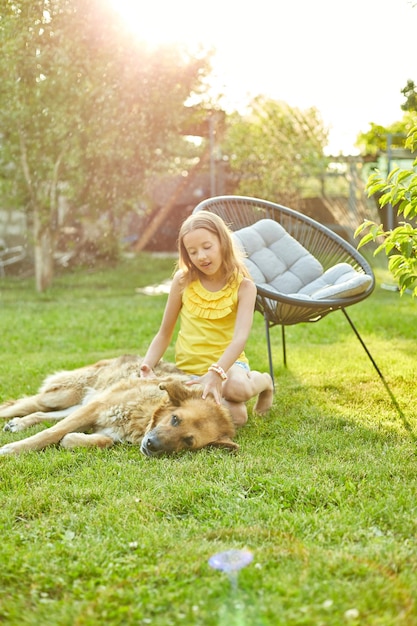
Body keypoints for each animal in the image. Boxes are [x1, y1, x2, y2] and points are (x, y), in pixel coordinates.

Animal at [0, 356, 236, 454]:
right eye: (175, 419)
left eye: (188, 441)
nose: (153, 446)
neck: (146, 413)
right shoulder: (95, 408)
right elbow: (49, 433)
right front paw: (13, 449)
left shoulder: (100, 420)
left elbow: (102, 440)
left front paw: (72, 439)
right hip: (64, 395)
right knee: (20, 404)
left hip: (79, 403)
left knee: (43, 414)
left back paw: (18, 424)